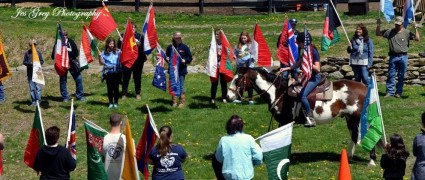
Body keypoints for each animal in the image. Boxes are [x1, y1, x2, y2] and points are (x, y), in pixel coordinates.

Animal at [227, 67, 376, 164]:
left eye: (237, 79)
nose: (228, 97)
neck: (279, 93)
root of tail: (365, 87)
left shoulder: (284, 121)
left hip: (358, 118)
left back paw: (372, 161)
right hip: (350, 118)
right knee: (354, 136)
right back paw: (350, 157)